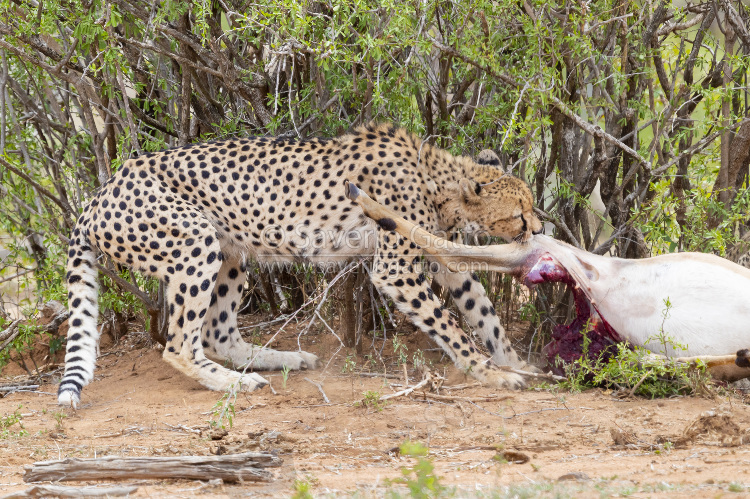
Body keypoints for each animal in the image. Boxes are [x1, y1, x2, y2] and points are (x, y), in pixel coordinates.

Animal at [57, 123, 540, 408]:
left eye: (530, 206)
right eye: (520, 213)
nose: (538, 229)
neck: (437, 180)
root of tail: (101, 190)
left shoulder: (443, 258)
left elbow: (482, 312)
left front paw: (517, 363)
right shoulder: (395, 269)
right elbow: (451, 326)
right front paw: (489, 373)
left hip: (232, 251)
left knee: (217, 332)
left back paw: (281, 359)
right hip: (196, 244)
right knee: (179, 345)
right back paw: (235, 383)